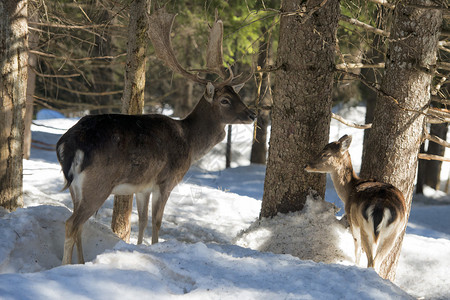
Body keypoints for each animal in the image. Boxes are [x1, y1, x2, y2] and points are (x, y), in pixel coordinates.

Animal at [55, 8, 256, 264]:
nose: (253, 114)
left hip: (75, 187)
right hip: (98, 183)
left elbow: (141, 221)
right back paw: (67, 265)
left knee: (79, 225)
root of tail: (67, 144)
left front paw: (139, 247)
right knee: (71, 223)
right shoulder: (166, 179)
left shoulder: (143, 186)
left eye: (237, 95)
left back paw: (80, 262)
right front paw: (156, 247)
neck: (189, 142)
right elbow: (157, 221)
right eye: (225, 100)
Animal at [304, 135, 406, 274]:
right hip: (393, 233)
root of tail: (381, 207)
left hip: (365, 227)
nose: (306, 165)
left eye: (325, 154)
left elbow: (357, 249)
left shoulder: (352, 222)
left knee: (371, 261)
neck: (349, 190)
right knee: (377, 261)